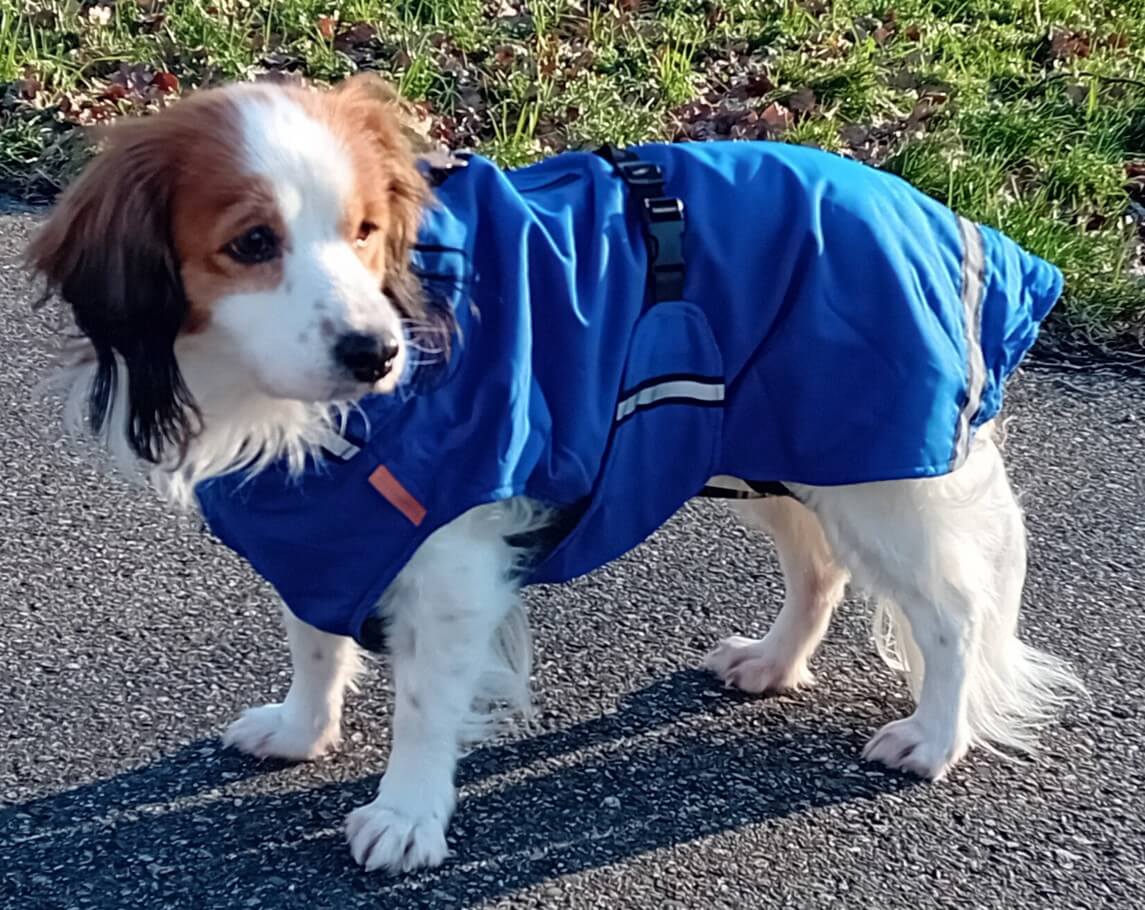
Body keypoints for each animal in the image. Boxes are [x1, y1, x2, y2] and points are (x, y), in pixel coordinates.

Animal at [24, 76, 1080, 874]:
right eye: (251, 243)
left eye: (364, 230)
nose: (376, 353)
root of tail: (929, 206)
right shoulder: (325, 530)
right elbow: (316, 641)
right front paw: (301, 729)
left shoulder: (450, 557)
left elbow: (423, 701)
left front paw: (407, 815)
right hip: (773, 450)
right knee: (819, 570)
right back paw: (775, 664)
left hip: (876, 478)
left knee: (952, 615)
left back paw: (934, 739)